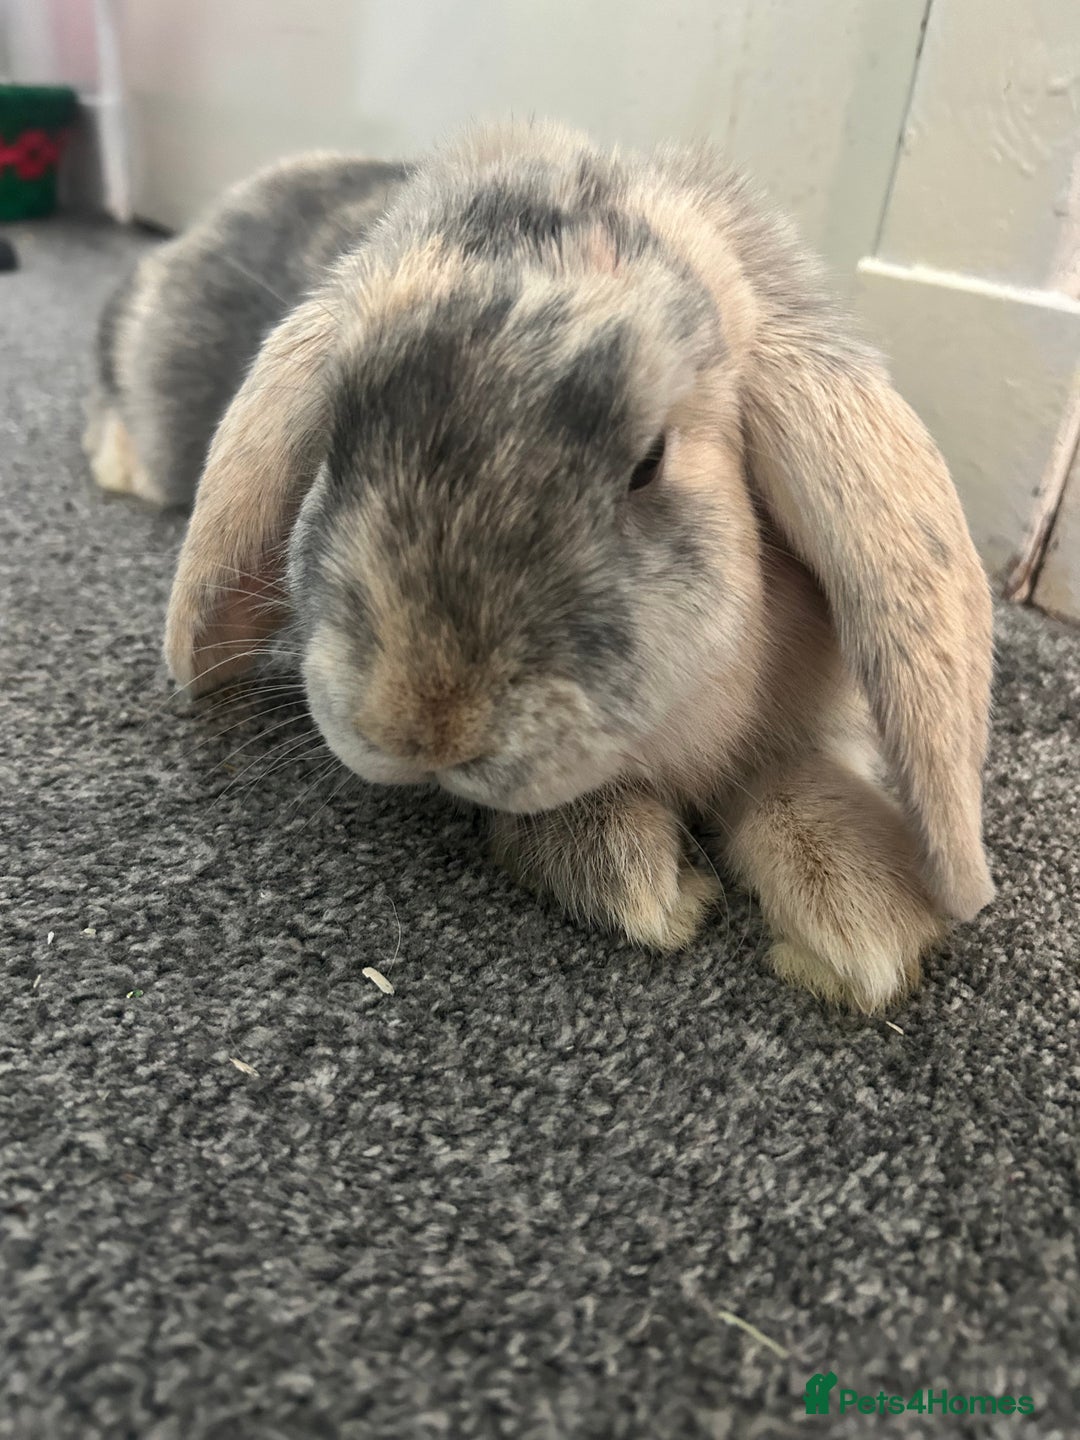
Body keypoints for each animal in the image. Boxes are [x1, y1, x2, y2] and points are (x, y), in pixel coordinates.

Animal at [88, 120, 995, 1013]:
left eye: (648, 462)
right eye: (337, 438)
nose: (424, 725)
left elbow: (797, 780)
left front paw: (864, 919)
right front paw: (649, 884)